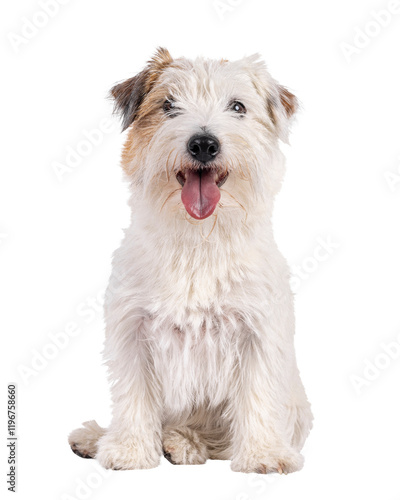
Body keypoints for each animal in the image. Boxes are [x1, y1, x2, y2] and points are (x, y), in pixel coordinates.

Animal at [69, 48, 312, 474]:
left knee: (216, 438)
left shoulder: (258, 334)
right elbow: (133, 395)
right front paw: (129, 450)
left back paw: (182, 442)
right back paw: (100, 438)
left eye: (237, 107)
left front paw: (263, 454)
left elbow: (258, 396)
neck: (198, 238)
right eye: (169, 105)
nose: (203, 144)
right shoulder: (132, 330)